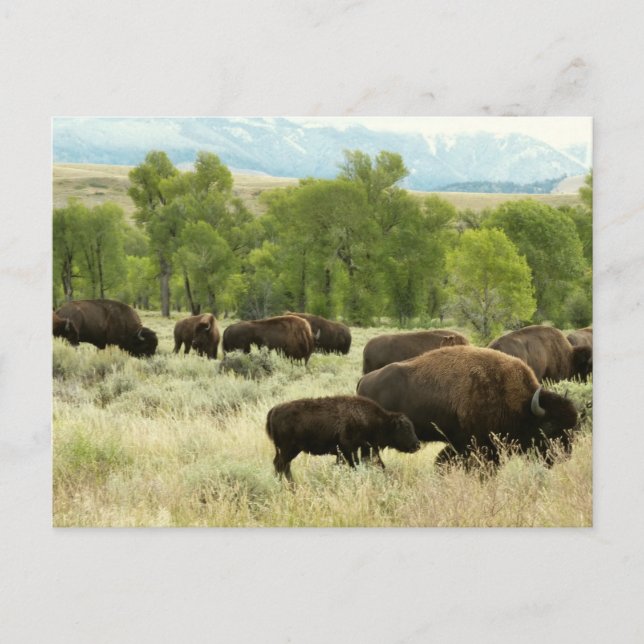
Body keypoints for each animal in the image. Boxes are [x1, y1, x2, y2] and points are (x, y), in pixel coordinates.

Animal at [265, 395, 421, 480]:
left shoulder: (357, 450)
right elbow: (355, 465)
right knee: (281, 465)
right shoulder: (349, 449)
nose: (417, 445)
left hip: (287, 450)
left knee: (282, 466)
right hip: (288, 449)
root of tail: (274, 410)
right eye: (405, 428)